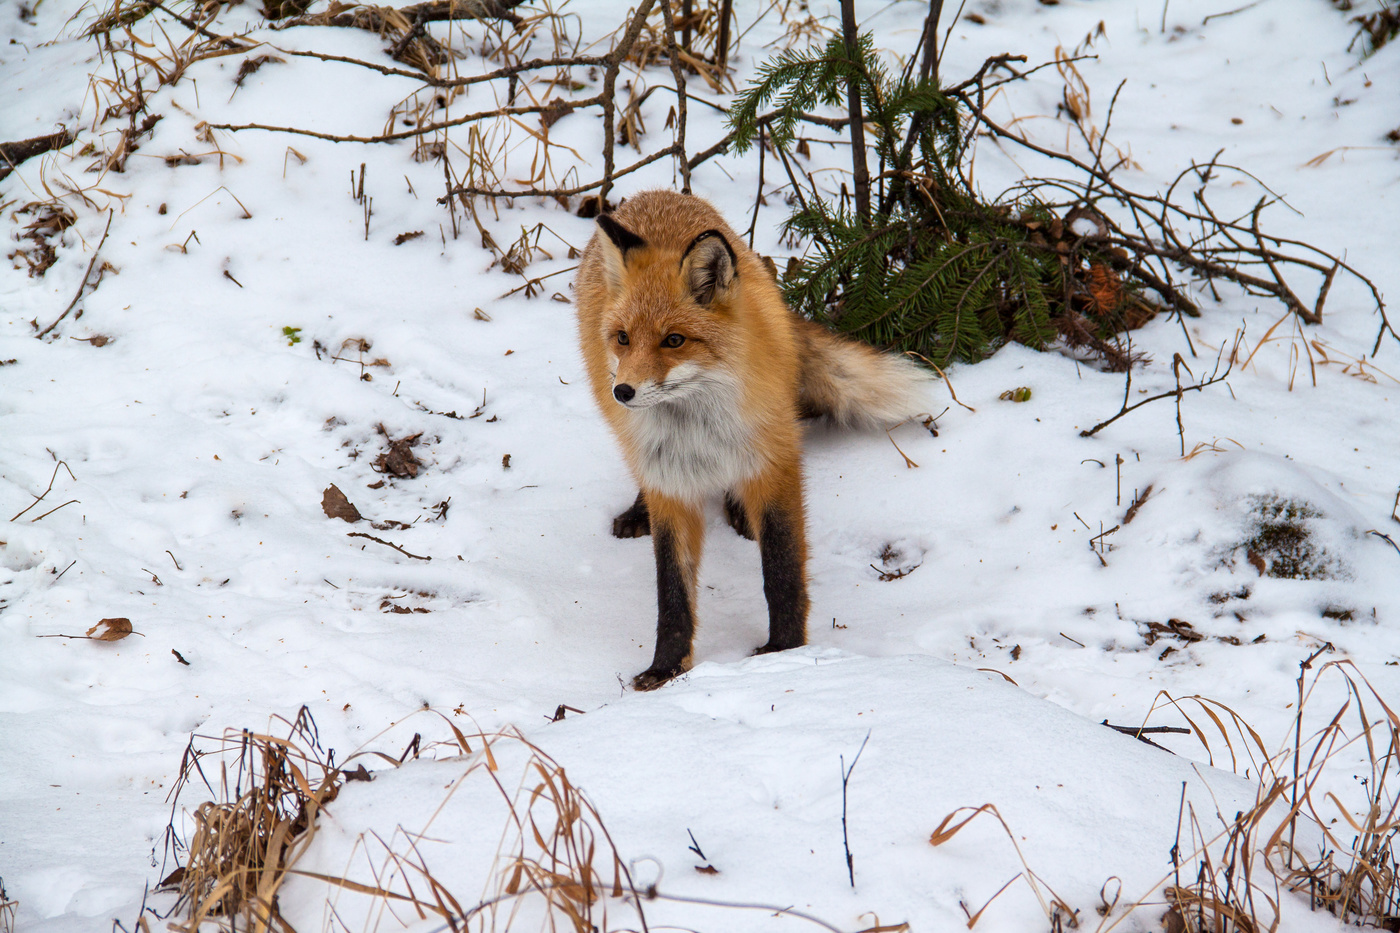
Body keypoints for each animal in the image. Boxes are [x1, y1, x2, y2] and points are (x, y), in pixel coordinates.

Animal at [575, 189, 931, 691]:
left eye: (674, 340)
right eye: (623, 338)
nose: (622, 392)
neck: (699, 427)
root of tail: (654, 195)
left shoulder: (773, 460)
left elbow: (780, 570)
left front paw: (784, 651)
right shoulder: (671, 483)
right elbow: (671, 591)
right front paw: (666, 668)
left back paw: (741, 510)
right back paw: (638, 511)